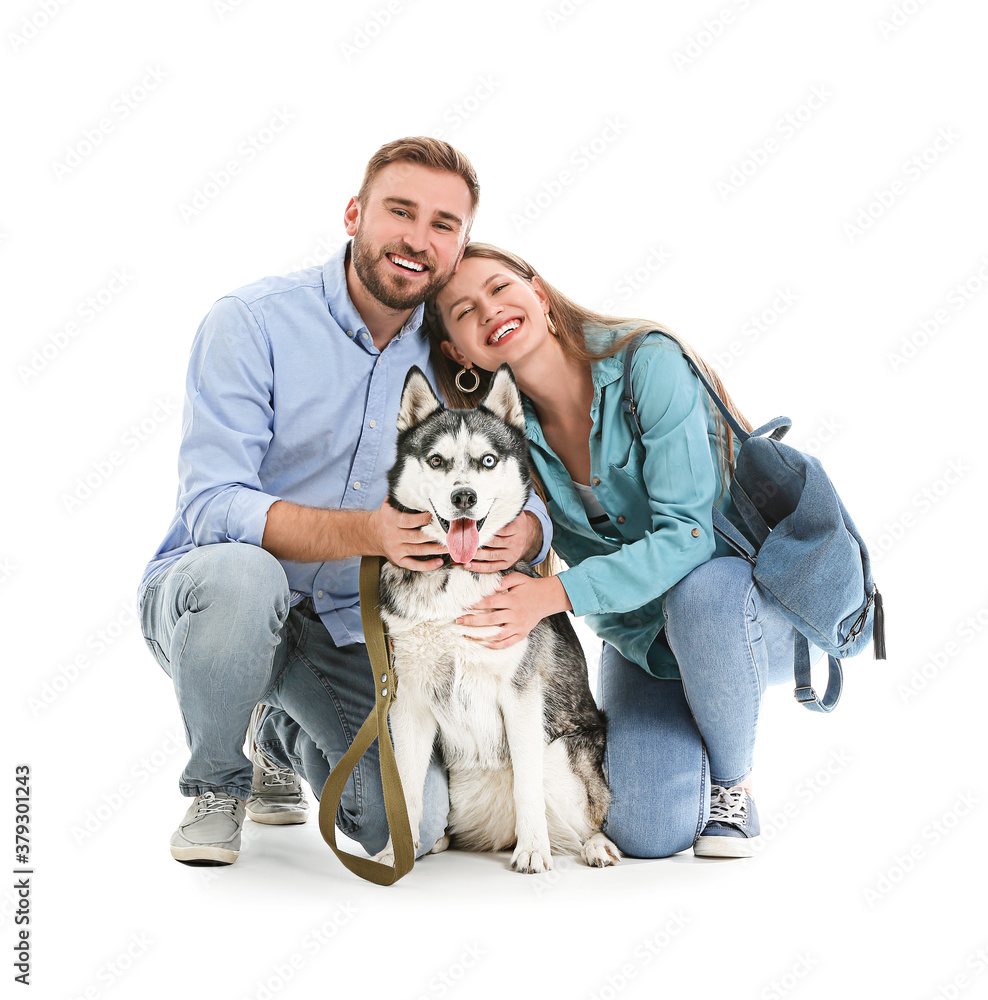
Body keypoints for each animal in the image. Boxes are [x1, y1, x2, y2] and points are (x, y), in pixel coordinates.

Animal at [374, 364, 620, 872]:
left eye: (487, 461)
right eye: (436, 460)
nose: (463, 496)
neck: (454, 577)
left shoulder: (520, 695)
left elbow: (526, 783)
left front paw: (533, 852)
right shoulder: (409, 702)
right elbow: (405, 790)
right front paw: (394, 854)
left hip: (563, 753)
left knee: (583, 813)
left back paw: (589, 844)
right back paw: (440, 841)